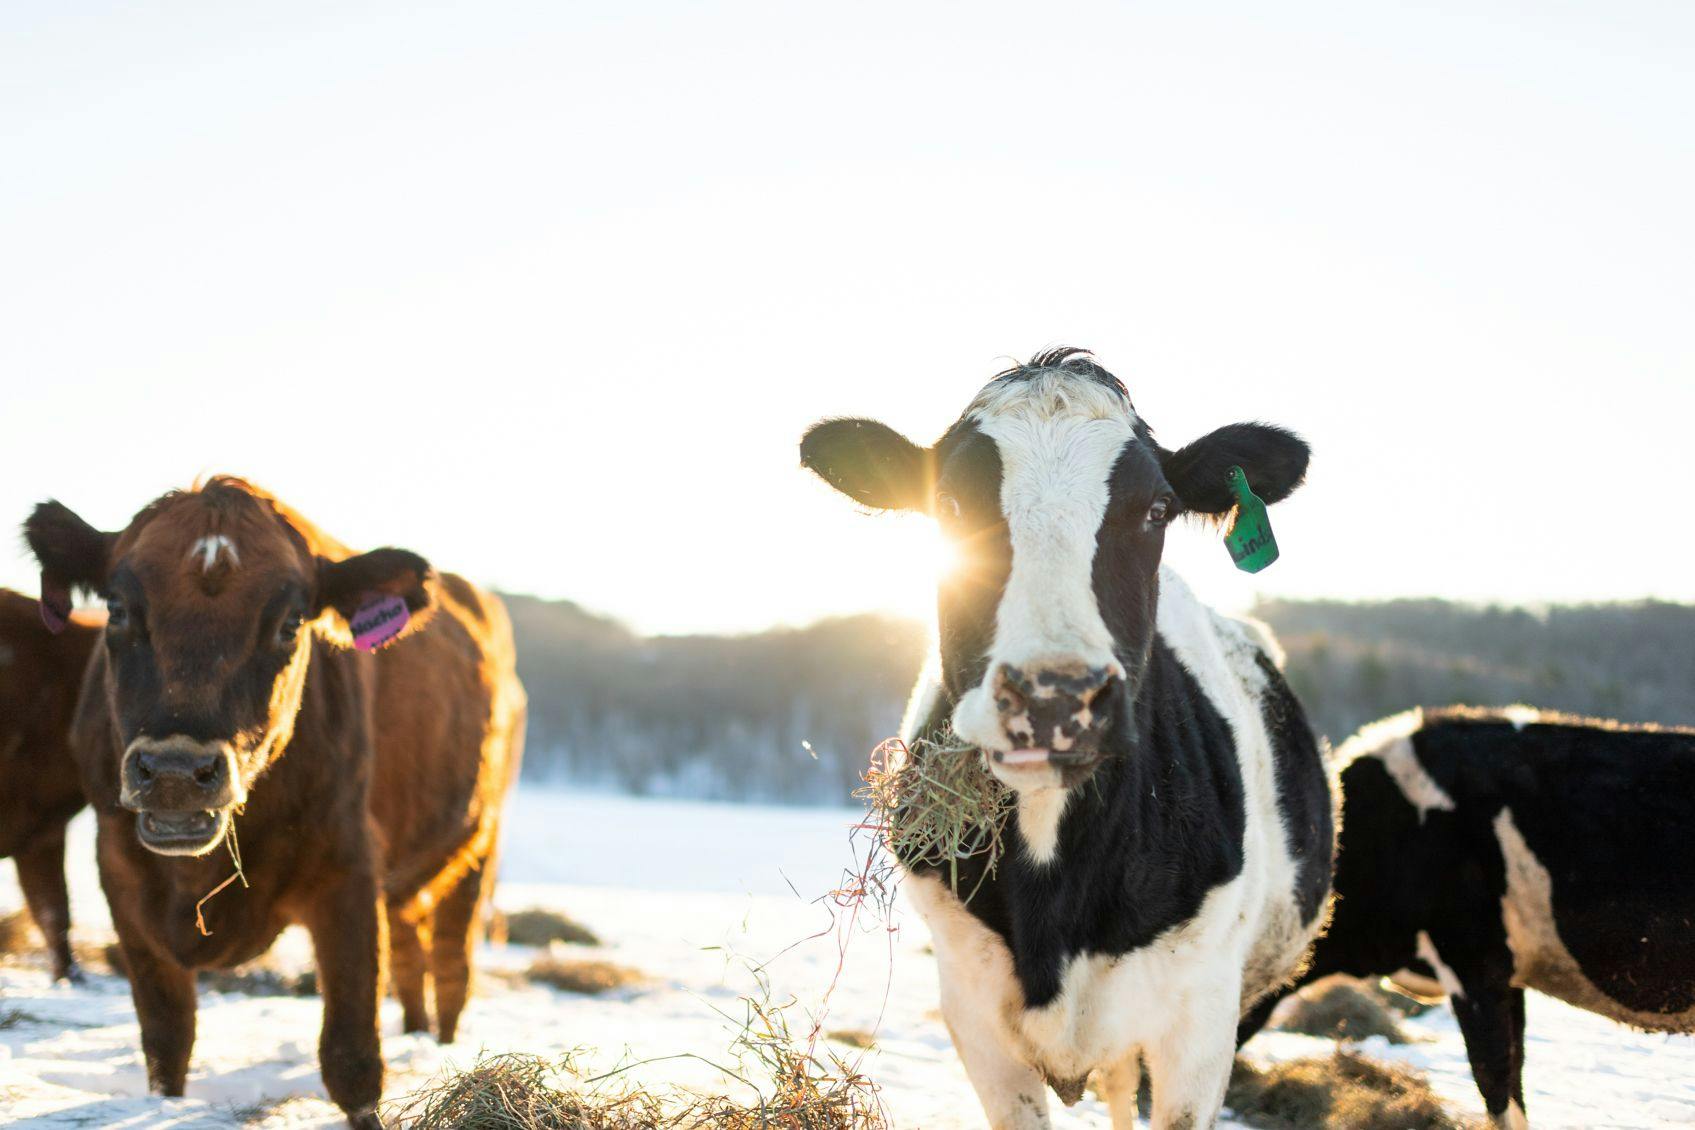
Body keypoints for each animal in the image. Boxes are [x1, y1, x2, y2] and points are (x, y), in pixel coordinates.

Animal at [24, 481, 522, 1130]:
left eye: (290, 624)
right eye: (117, 608)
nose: (176, 772)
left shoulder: (348, 873)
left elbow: (351, 1058)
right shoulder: (120, 873)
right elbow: (166, 1040)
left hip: (477, 848)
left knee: (451, 968)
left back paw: (442, 1047)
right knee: (413, 959)